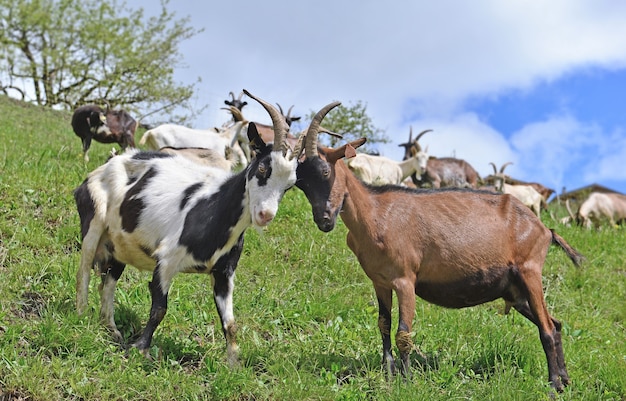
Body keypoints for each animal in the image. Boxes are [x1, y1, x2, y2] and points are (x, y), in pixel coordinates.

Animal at [75, 90, 342, 360]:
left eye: (289, 185)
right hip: (94, 220)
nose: (265, 214)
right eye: (263, 167)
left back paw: (111, 329)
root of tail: (109, 163)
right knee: (84, 269)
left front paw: (234, 363)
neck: (213, 209)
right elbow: (159, 309)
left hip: (118, 243)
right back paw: (81, 316)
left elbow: (230, 324)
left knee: (108, 282)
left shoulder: (224, 273)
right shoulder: (166, 261)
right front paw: (141, 349)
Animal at [294, 134, 584, 390]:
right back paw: (566, 381)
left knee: (547, 329)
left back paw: (553, 386)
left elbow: (403, 334)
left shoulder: (405, 280)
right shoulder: (380, 282)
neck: (376, 215)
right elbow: (384, 325)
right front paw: (388, 373)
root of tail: (545, 230)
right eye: (301, 184)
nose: (324, 220)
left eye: (325, 172)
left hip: (530, 272)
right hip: (515, 290)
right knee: (556, 324)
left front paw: (406, 382)